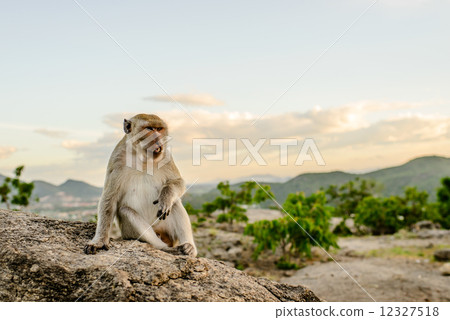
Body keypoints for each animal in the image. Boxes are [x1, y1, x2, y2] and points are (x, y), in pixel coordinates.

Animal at [84, 114, 197, 256]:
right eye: (149, 129)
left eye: (159, 129)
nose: (157, 139)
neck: (143, 158)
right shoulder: (117, 160)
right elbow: (109, 199)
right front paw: (99, 241)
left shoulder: (166, 156)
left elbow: (178, 182)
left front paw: (166, 196)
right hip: (129, 232)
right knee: (126, 211)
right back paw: (166, 248)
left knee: (175, 202)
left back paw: (189, 247)